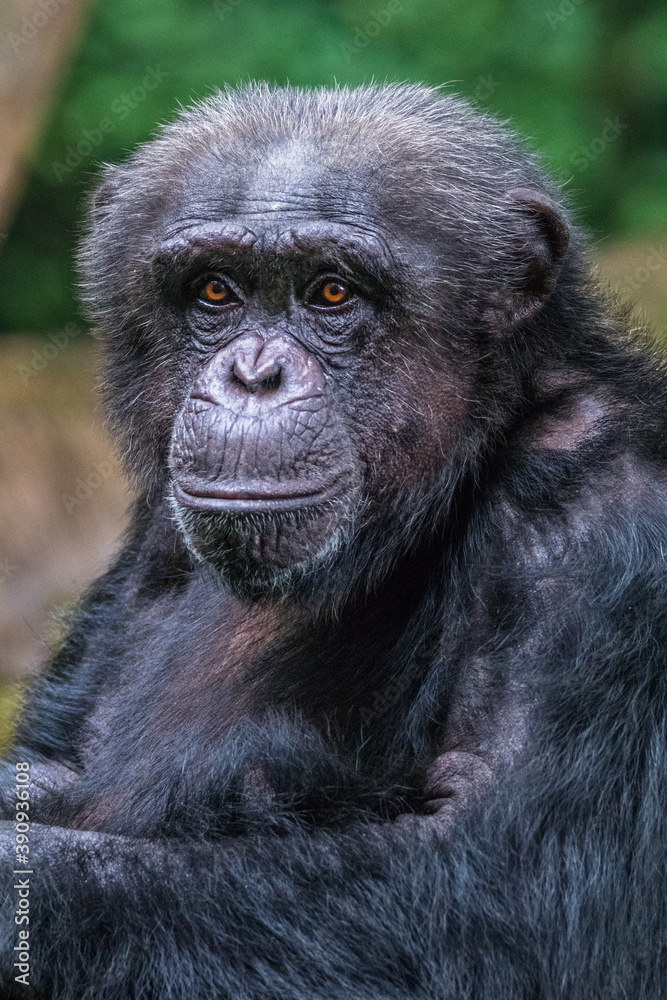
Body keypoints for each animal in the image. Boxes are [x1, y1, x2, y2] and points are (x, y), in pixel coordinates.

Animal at [1, 86, 667, 1000]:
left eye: (329, 293)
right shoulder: (152, 535)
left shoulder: (599, 511)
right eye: (215, 292)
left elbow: (497, 888)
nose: (252, 373)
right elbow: (54, 769)